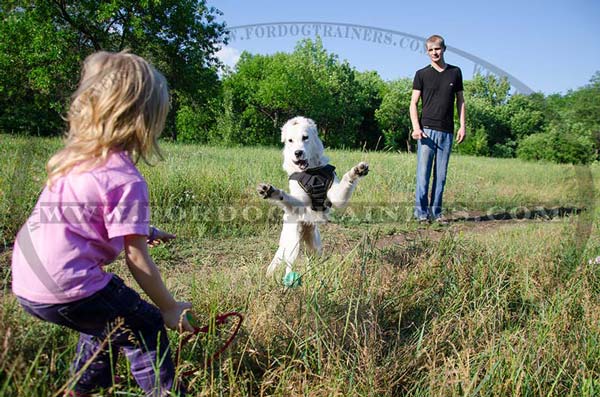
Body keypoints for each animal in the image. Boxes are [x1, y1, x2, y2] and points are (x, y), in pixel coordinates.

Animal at [255, 116, 368, 276]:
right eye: (290, 140)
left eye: (305, 137)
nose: (298, 153)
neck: (313, 173)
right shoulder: (301, 202)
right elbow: (289, 198)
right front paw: (272, 192)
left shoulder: (336, 196)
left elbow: (347, 181)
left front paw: (356, 172)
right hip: (293, 244)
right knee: (289, 265)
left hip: (314, 247)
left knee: (311, 263)